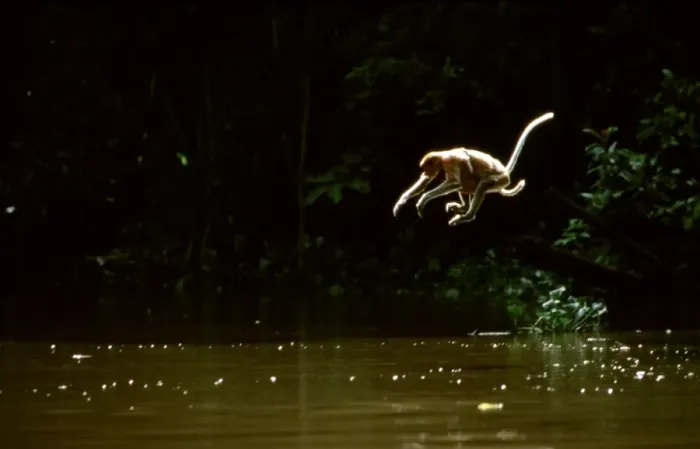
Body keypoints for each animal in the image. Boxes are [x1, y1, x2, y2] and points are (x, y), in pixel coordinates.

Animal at [392, 111, 554, 227]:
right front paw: (400, 202)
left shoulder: (450, 162)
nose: (425, 172)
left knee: (478, 185)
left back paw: (466, 216)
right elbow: (426, 182)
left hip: (499, 180)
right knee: (466, 184)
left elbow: (454, 182)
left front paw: (422, 201)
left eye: (426, 168)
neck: (442, 156)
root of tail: (505, 171)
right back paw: (462, 208)